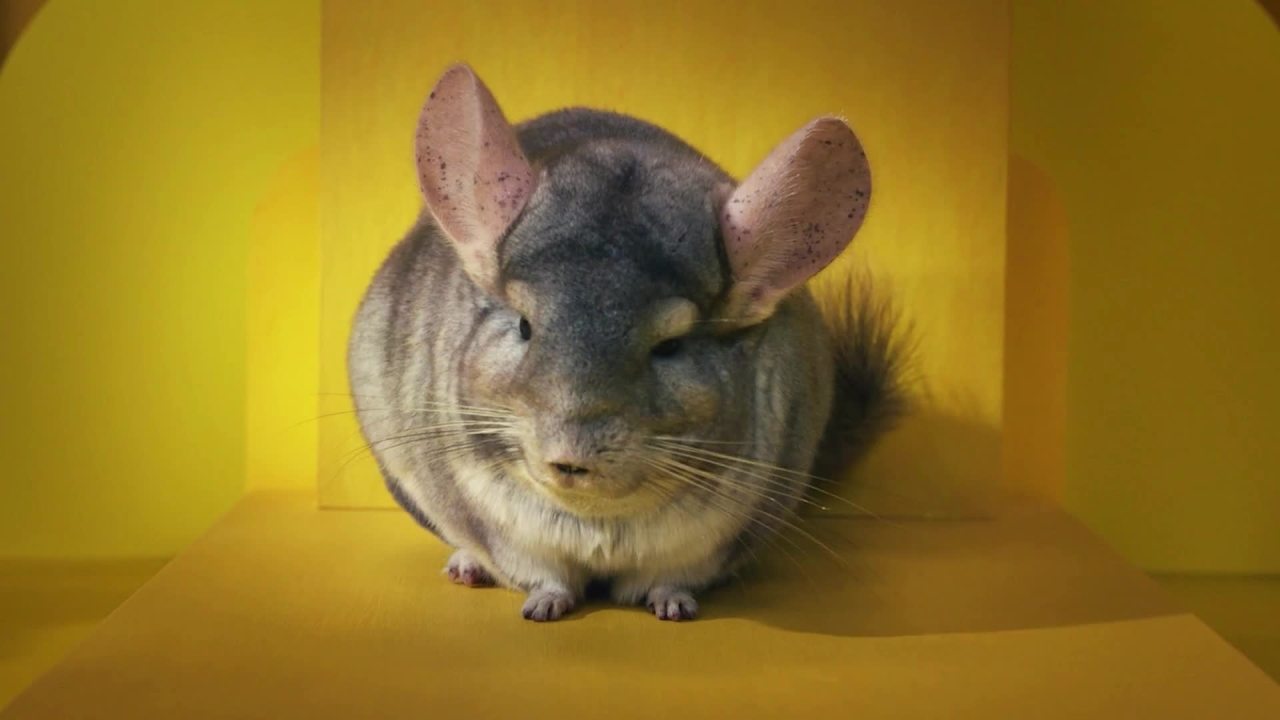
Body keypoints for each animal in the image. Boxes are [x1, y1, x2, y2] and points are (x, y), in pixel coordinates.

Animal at [348, 64, 904, 621]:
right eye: (525, 325)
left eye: (671, 345)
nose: (570, 457)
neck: (595, 518)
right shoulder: (500, 532)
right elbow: (540, 574)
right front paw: (543, 606)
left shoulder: (713, 542)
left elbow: (672, 579)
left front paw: (673, 606)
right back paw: (466, 568)